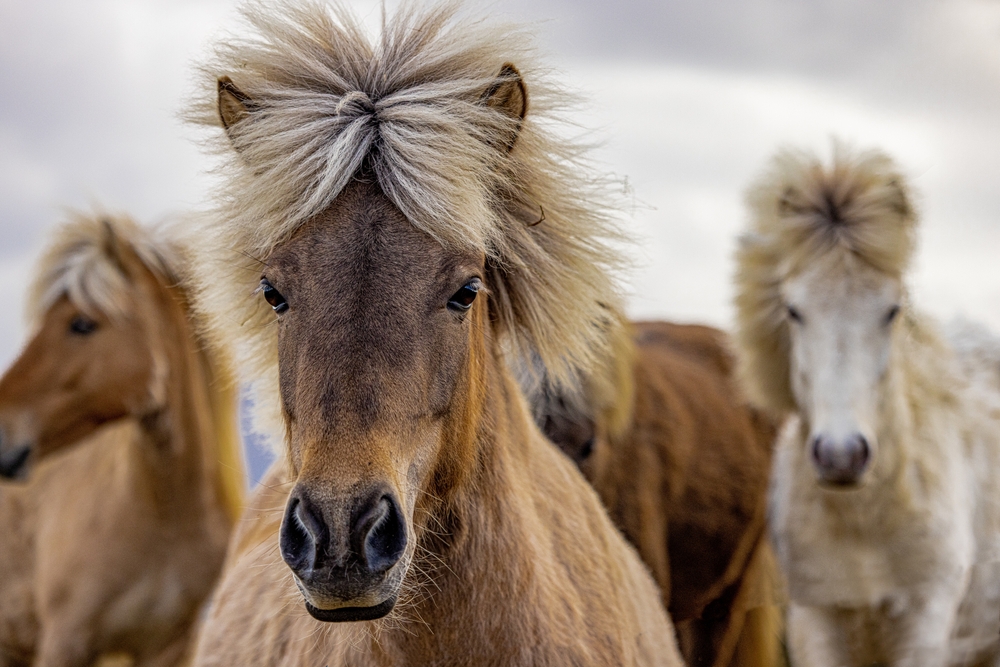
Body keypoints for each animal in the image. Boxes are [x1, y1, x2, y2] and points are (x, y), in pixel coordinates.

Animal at [733, 143, 1000, 666]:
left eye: (892, 310)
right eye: (793, 310)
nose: (842, 455)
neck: (865, 522)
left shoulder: (926, 626)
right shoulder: (814, 622)